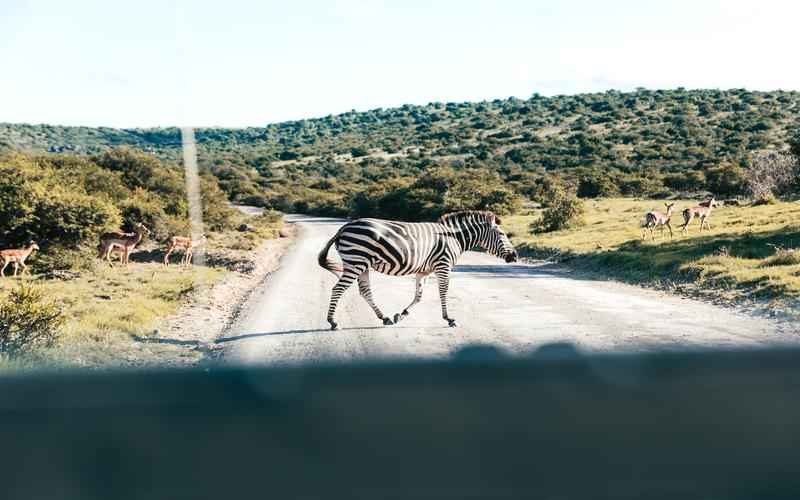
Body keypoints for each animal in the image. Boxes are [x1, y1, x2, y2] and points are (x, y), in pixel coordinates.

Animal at [316, 209, 516, 330]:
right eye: (502, 234)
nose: (514, 256)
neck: (454, 238)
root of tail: (344, 228)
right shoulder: (443, 265)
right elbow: (443, 292)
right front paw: (449, 319)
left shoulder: (424, 271)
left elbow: (419, 296)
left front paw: (401, 315)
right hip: (356, 262)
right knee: (338, 289)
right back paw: (333, 322)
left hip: (362, 264)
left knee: (365, 291)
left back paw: (385, 318)